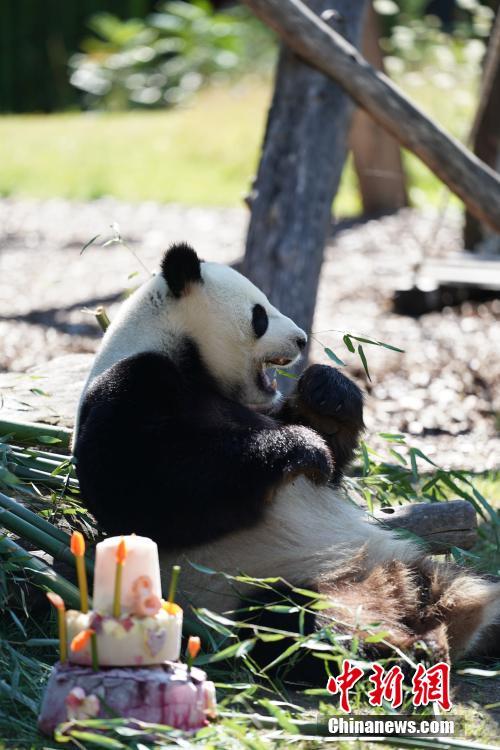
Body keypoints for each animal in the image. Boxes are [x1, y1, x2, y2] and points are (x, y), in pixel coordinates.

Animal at [75, 244, 500, 680]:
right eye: (260, 314)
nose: (301, 338)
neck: (180, 352)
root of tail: (403, 600)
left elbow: (326, 461)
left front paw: (328, 391)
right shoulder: (133, 385)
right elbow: (146, 483)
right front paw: (300, 447)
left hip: (417, 564)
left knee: (468, 587)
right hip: (262, 587)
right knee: (307, 628)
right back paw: (407, 651)